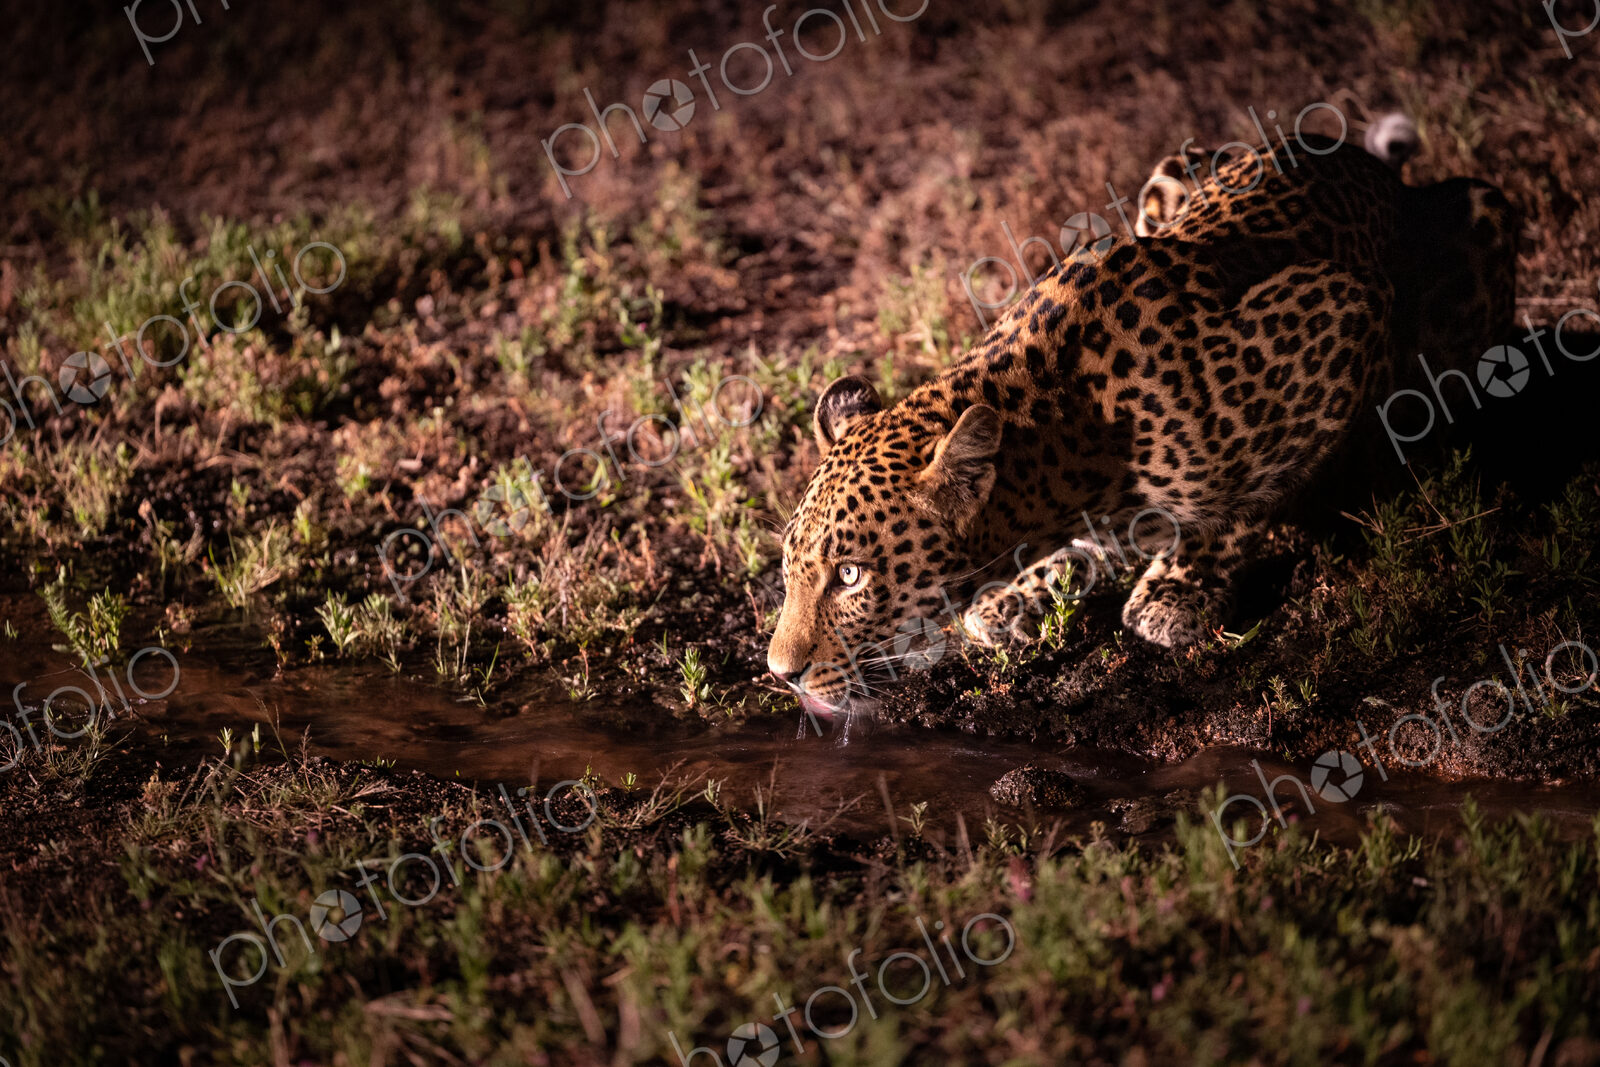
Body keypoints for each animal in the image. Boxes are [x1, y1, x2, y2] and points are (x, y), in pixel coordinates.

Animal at [766, 119, 1518, 718]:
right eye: (788, 567)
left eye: (851, 576)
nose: (780, 673)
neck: (1071, 431)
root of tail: (1372, 162)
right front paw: (1026, 590)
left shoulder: (1343, 305)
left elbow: (1242, 496)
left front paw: (1180, 585)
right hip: (1175, 166)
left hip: (1484, 210)